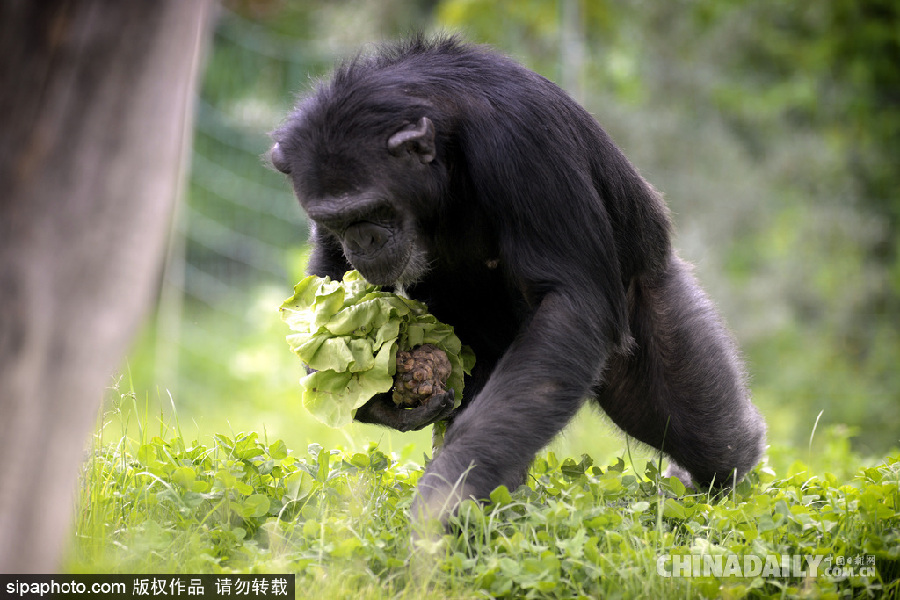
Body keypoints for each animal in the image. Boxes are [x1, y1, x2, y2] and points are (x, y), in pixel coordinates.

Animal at [268, 35, 768, 520]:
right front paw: (381, 395)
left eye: (374, 210)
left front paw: (444, 496)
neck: (447, 140)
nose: (362, 242)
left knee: (701, 430)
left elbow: (570, 300)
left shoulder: (522, 141)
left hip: (650, 302)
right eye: (335, 219)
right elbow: (331, 273)